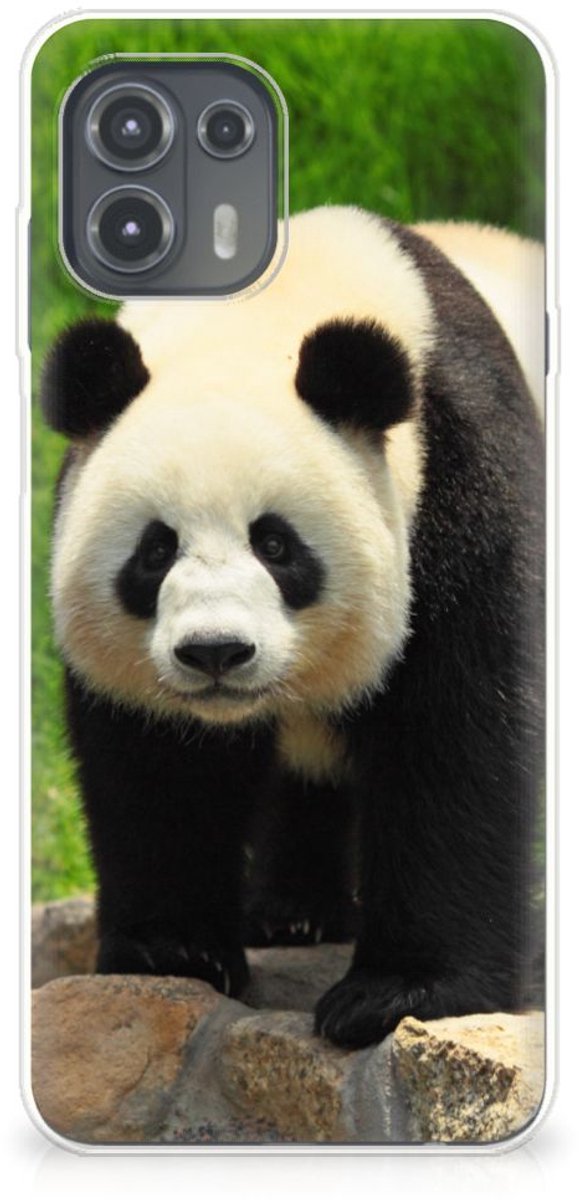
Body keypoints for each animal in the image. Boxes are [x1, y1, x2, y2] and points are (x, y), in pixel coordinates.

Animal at [41, 206, 544, 1049]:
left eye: (275, 545)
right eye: (155, 550)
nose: (215, 652)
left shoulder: (462, 479)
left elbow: (457, 734)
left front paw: (397, 993)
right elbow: (156, 765)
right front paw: (173, 951)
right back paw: (292, 913)